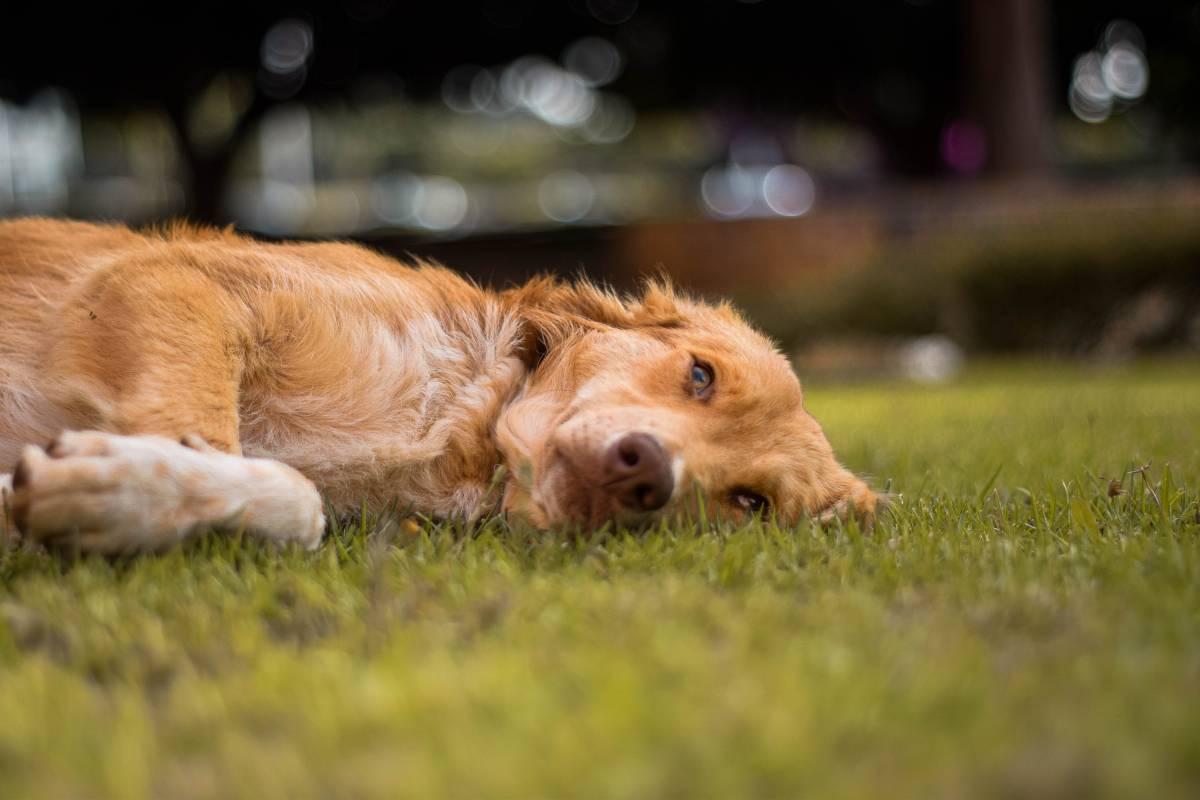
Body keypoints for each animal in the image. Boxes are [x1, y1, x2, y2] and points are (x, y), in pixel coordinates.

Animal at [0, 219, 873, 554]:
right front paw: (128, 482)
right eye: (700, 374)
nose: (646, 474)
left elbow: (300, 500)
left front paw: (113, 497)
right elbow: (207, 437)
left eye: (749, 503)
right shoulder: (171, 281)